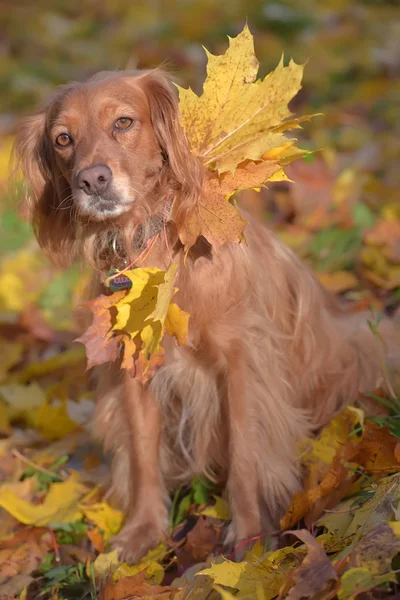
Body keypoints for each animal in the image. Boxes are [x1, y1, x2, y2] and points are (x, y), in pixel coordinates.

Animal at [13, 70, 396, 564]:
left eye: (123, 122)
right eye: (63, 139)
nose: (93, 179)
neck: (153, 253)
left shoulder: (243, 362)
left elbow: (246, 453)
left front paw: (251, 536)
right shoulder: (136, 370)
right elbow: (143, 455)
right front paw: (143, 532)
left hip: (362, 347)